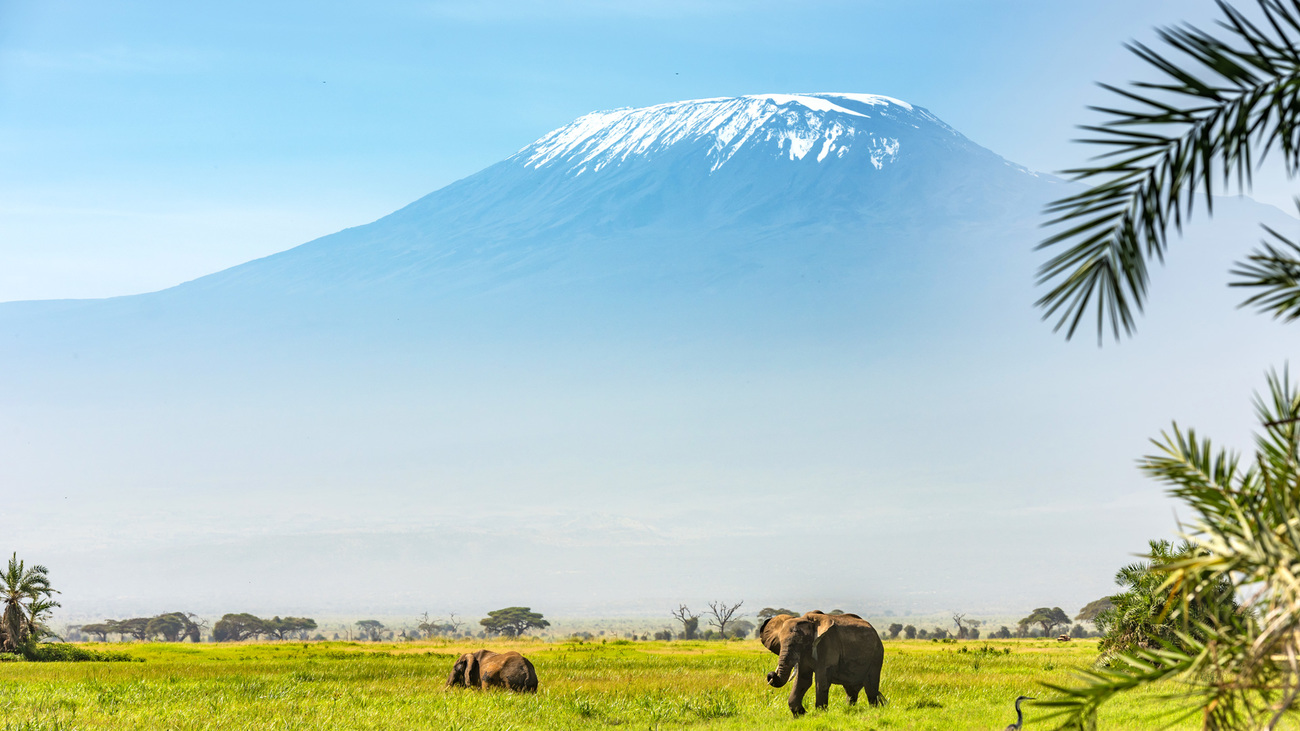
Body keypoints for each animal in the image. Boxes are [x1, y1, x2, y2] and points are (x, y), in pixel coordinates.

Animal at [759, 608, 889, 712]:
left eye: (800, 642)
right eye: (780, 643)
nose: (771, 675)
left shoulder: (827, 645)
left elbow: (821, 681)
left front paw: (820, 714)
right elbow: (802, 680)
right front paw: (801, 714)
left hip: (877, 655)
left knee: (870, 687)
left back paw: (872, 710)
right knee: (851, 690)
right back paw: (849, 709)